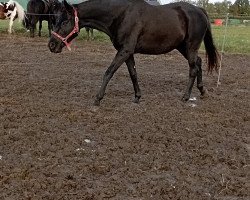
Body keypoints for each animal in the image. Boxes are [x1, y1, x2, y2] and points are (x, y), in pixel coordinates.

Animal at [47, 0, 219, 106]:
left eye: (65, 21)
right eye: (55, 20)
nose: (51, 45)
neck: (121, 15)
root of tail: (200, 10)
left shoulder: (125, 50)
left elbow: (109, 72)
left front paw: (98, 98)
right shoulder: (128, 52)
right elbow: (133, 74)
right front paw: (137, 97)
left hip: (190, 46)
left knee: (193, 68)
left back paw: (186, 96)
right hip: (183, 47)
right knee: (198, 62)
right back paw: (202, 90)